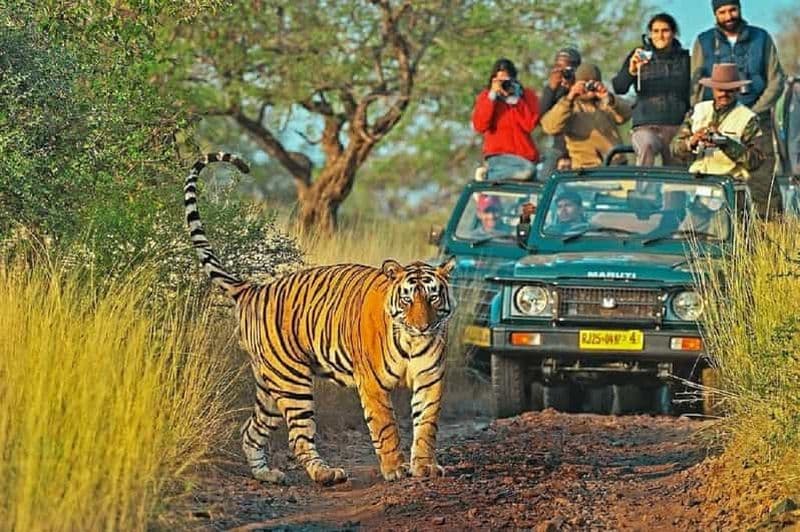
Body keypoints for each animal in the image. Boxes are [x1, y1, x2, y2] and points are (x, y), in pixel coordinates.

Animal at [184, 152, 456, 485]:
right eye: (407, 299)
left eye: (433, 297)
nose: (422, 326)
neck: (410, 341)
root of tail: (254, 288)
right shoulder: (373, 385)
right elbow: (386, 428)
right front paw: (395, 469)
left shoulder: (430, 378)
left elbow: (427, 425)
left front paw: (425, 466)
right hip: (292, 381)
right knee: (299, 437)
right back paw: (325, 473)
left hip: (269, 386)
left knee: (250, 431)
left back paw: (267, 474)